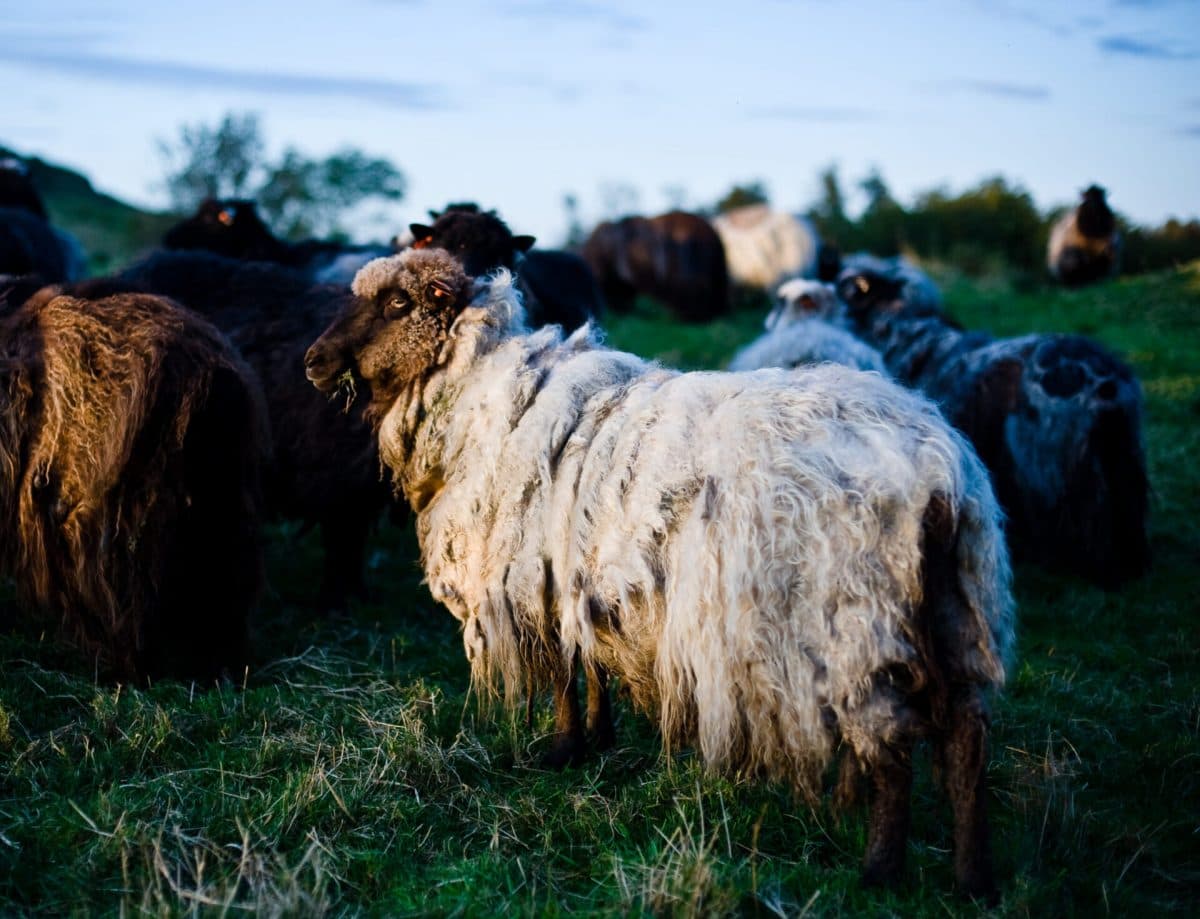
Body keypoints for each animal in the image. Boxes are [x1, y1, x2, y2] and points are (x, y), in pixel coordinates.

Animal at [0, 283, 267, 681]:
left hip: (111, 525)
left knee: (125, 600)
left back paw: (124, 671)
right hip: (223, 500)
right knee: (223, 576)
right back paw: (218, 665)